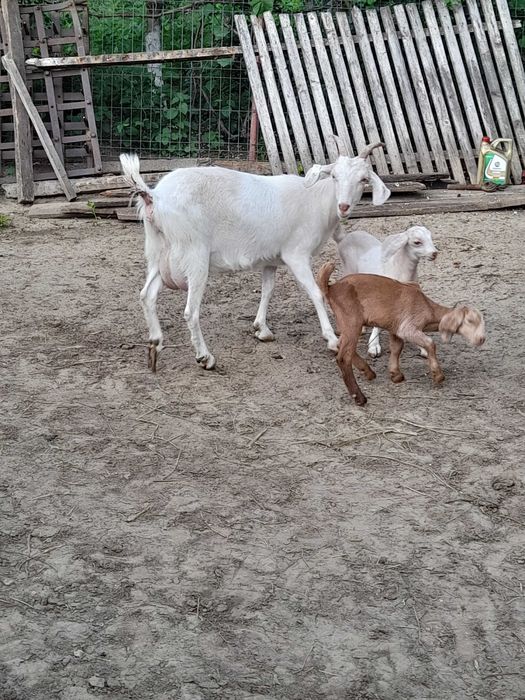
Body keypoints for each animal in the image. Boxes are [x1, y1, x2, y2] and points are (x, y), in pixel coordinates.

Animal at [120, 141, 390, 371]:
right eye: (334, 176)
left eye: (363, 179)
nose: (343, 206)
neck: (316, 200)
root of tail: (153, 196)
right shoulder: (296, 254)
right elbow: (315, 292)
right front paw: (332, 339)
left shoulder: (270, 258)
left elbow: (267, 290)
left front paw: (262, 329)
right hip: (194, 254)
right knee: (190, 311)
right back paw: (205, 357)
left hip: (158, 252)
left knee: (146, 295)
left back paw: (155, 344)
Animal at [317, 263, 485, 406]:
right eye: (470, 321)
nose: (481, 339)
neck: (428, 308)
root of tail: (330, 288)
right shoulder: (407, 327)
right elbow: (430, 343)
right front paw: (438, 376)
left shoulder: (396, 329)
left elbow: (397, 348)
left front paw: (395, 375)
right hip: (352, 320)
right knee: (343, 357)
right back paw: (359, 397)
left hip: (346, 323)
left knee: (339, 345)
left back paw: (369, 372)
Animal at [337, 226, 438, 358]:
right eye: (417, 242)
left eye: (430, 237)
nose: (434, 253)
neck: (398, 268)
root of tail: (345, 237)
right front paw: (374, 347)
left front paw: (422, 347)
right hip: (348, 270)